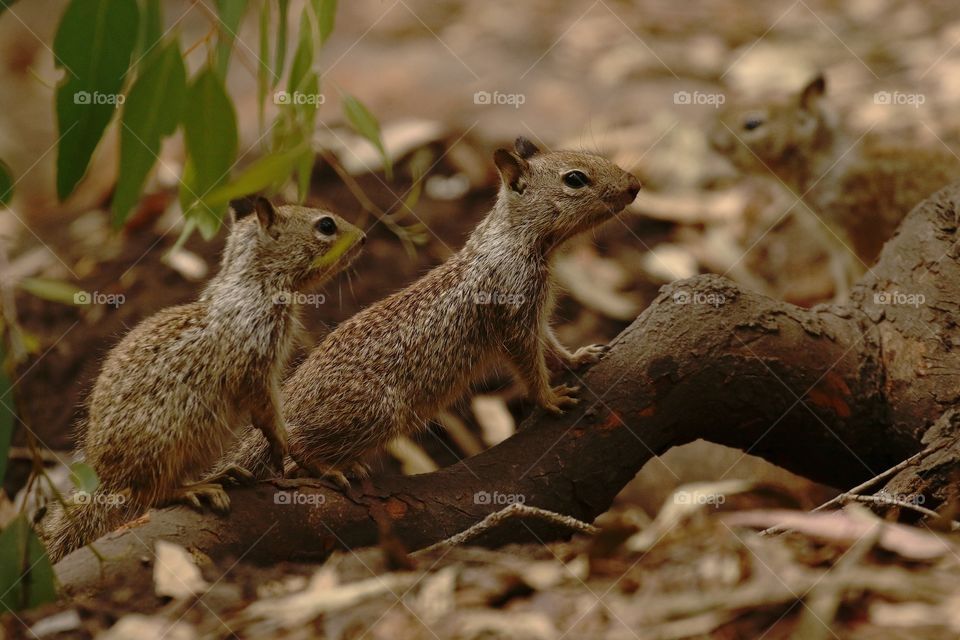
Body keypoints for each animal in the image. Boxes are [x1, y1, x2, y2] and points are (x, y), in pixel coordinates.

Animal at [41, 199, 366, 560]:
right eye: (326, 225)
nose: (364, 238)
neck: (254, 286)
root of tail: (105, 478)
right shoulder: (255, 371)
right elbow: (271, 418)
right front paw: (294, 451)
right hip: (165, 443)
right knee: (149, 495)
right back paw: (198, 489)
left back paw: (223, 475)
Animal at [214, 136, 640, 484]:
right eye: (575, 179)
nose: (634, 185)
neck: (513, 240)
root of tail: (292, 397)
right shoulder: (514, 317)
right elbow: (529, 365)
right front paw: (550, 399)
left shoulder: (535, 316)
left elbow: (550, 346)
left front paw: (578, 356)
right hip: (373, 413)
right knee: (294, 450)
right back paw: (326, 466)